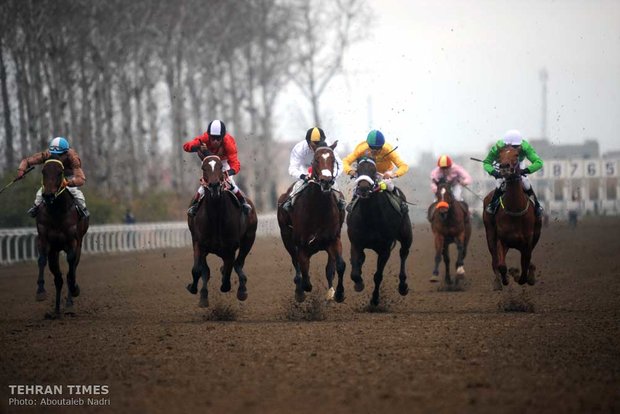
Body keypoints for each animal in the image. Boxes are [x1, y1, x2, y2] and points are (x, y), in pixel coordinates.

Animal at [35, 160, 89, 316]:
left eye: (60, 173)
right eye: (43, 171)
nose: (48, 195)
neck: (57, 212)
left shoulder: (72, 242)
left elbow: (71, 269)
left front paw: (74, 290)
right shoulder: (44, 239)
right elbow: (42, 260)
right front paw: (40, 291)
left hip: (79, 244)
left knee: (71, 270)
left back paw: (69, 303)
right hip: (55, 251)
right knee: (58, 278)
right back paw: (57, 310)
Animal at [188, 155, 258, 308]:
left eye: (220, 167)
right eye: (204, 168)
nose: (214, 186)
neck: (215, 216)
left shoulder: (230, 248)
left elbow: (226, 278)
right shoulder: (199, 243)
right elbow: (198, 270)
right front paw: (194, 289)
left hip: (249, 238)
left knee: (238, 263)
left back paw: (242, 290)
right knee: (207, 271)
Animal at [278, 144, 346, 302]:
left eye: (333, 159)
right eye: (316, 160)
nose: (326, 181)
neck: (318, 210)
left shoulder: (334, 239)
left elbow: (339, 265)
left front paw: (338, 293)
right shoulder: (302, 246)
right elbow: (304, 273)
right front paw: (301, 290)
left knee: (330, 267)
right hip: (286, 237)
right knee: (295, 263)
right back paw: (299, 290)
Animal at [346, 157, 414, 306]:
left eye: (373, 170)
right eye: (358, 170)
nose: (364, 188)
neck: (370, 218)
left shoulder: (385, 249)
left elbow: (378, 276)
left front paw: (375, 299)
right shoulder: (356, 244)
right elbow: (354, 271)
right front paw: (359, 284)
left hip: (406, 236)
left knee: (403, 253)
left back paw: (403, 286)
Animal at [482, 147, 540, 290]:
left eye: (517, 154)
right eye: (499, 155)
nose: (504, 168)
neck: (515, 209)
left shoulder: (527, 242)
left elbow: (525, 264)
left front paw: (522, 276)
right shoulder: (502, 240)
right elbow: (502, 265)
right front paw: (507, 278)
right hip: (490, 234)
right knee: (495, 260)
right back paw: (498, 282)